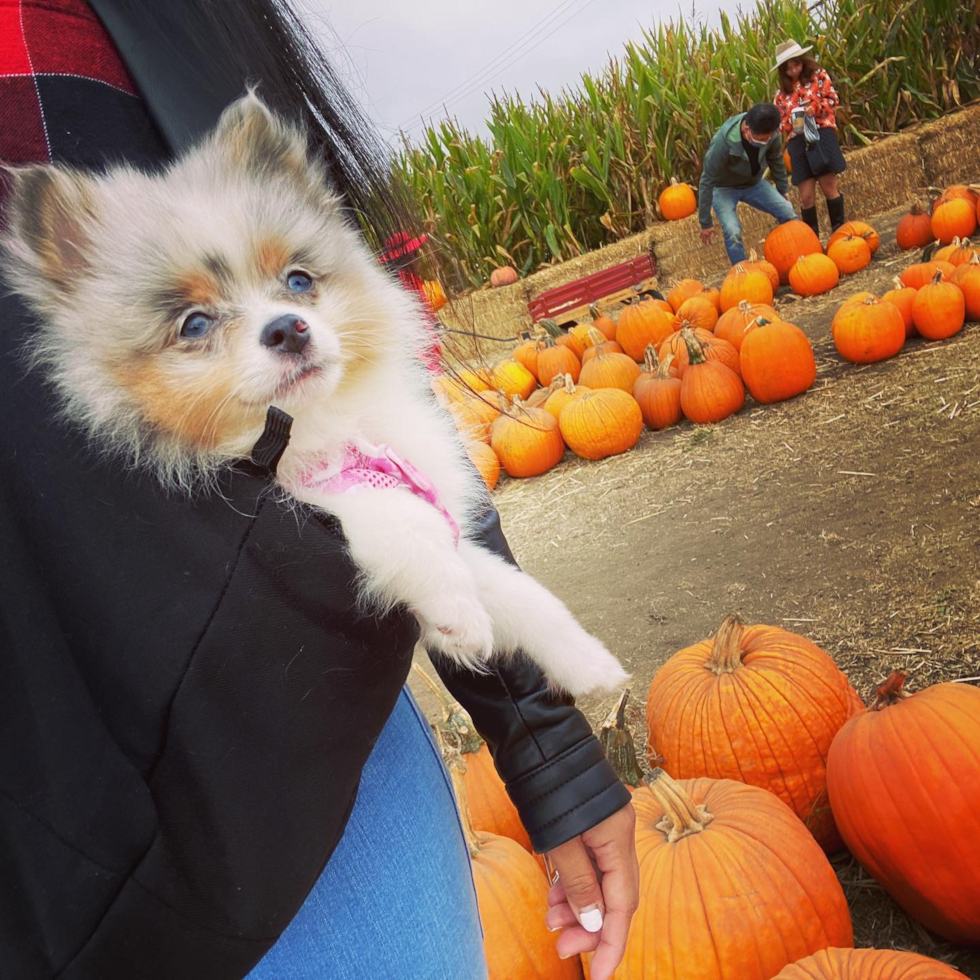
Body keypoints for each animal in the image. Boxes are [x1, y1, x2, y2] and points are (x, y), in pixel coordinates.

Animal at [1, 95, 628, 696]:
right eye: (194, 324)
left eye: (298, 281)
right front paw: (459, 617)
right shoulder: (320, 496)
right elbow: (403, 520)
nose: (288, 328)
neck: (322, 425)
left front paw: (589, 664)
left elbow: (520, 593)